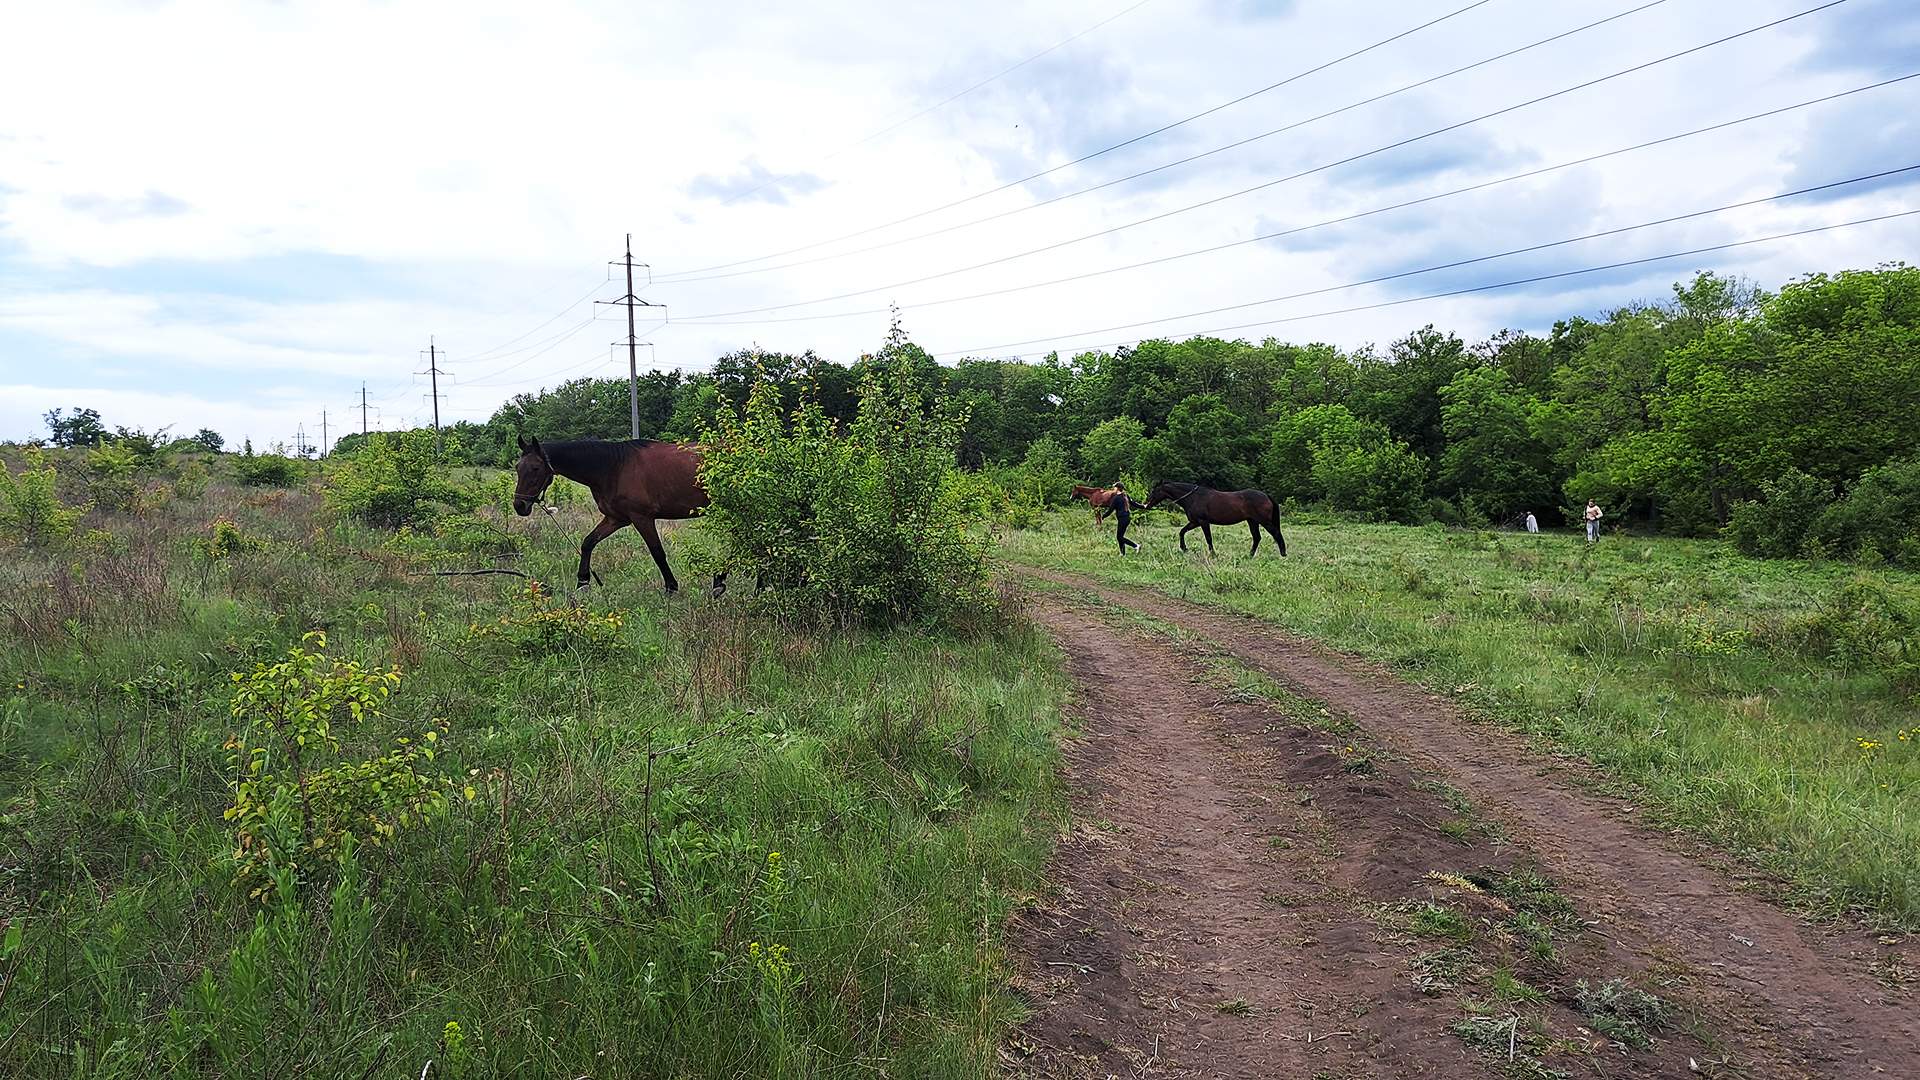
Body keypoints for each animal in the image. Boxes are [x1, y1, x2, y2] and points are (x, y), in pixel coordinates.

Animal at [506, 432, 721, 591]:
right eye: (517, 467)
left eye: (535, 468)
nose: (519, 505)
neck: (614, 468)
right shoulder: (615, 518)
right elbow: (588, 543)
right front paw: (583, 582)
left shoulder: (642, 518)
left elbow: (657, 552)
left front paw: (671, 587)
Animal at [1144, 478, 1282, 553]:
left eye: (1154, 491)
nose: (1146, 503)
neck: (1193, 497)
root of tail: (1266, 496)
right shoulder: (1195, 522)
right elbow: (1182, 532)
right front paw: (1184, 548)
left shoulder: (1203, 522)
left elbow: (1208, 538)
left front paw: (1213, 554)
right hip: (1252, 521)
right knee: (1257, 538)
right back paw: (1250, 555)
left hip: (1263, 521)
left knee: (1276, 534)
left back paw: (1283, 554)